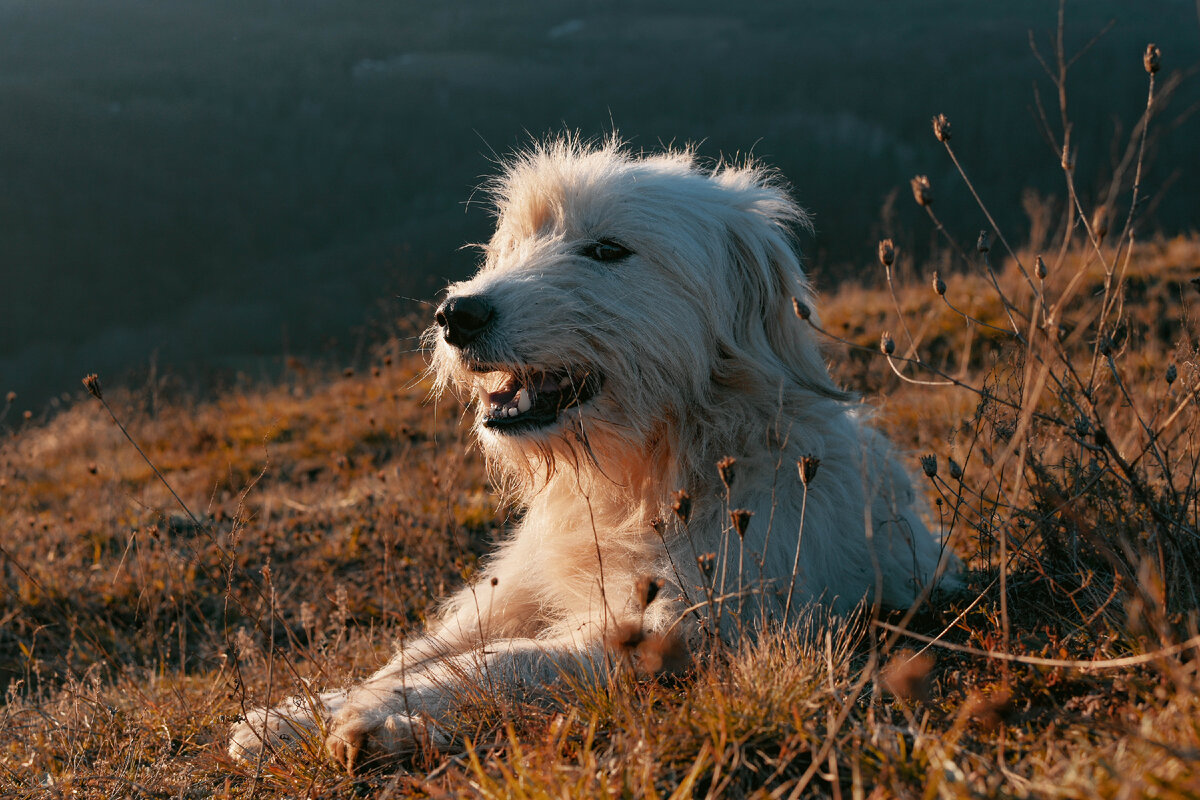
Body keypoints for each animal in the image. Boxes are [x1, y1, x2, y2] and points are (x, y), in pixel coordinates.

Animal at [229, 139, 950, 777]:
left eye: (607, 250)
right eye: (515, 242)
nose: (456, 313)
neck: (639, 475)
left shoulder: (679, 623)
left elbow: (506, 661)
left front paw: (378, 713)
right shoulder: (516, 585)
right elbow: (427, 648)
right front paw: (299, 713)